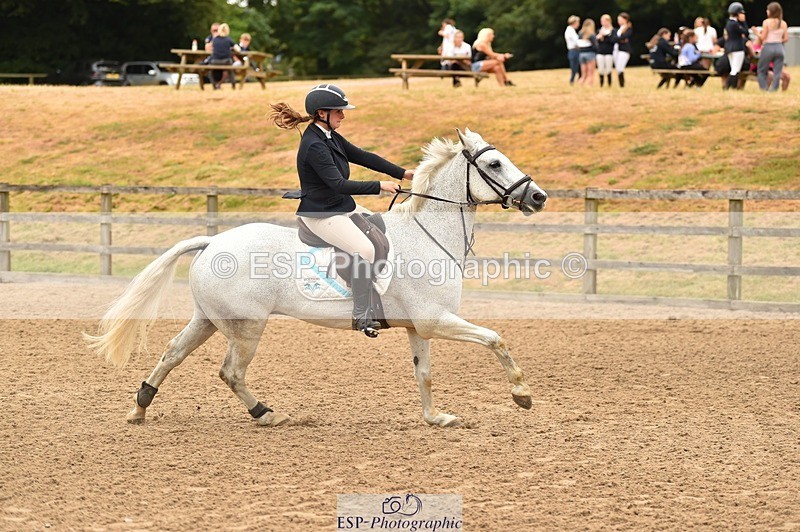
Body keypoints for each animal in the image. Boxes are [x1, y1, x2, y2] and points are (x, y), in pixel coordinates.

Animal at [86, 129, 548, 428]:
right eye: (494, 163)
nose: (538, 197)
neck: (426, 235)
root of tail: (212, 242)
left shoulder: (419, 327)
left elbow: (425, 374)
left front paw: (436, 418)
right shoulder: (435, 321)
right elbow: (495, 339)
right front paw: (522, 395)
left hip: (209, 319)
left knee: (173, 353)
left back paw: (140, 407)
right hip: (247, 327)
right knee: (230, 372)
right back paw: (266, 414)